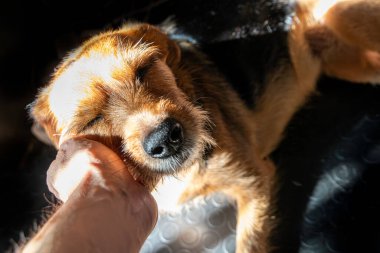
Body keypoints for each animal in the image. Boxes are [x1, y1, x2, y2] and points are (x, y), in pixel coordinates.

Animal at [29, 0, 380, 252]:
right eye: (91, 119)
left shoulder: (254, 182)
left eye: (144, 69)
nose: (166, 137)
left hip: (341, 19)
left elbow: (250, 244)